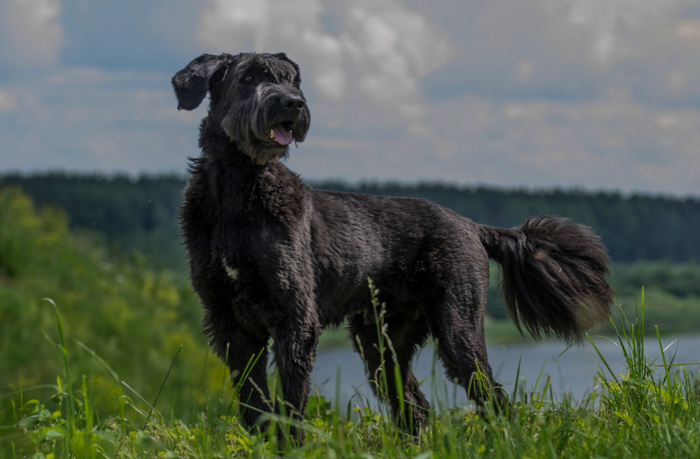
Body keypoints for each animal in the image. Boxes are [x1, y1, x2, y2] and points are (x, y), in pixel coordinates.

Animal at [174, 52, 612, 436]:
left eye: (291, 80)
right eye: (248, 77)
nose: (293, 103)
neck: (239, 188)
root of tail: (471, 226)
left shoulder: (294, 319)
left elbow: (290, 404)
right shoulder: (230, 323)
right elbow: (255, 404)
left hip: (458, 329)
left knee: (492, 396)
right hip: (383, 342)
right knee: (415, 406)